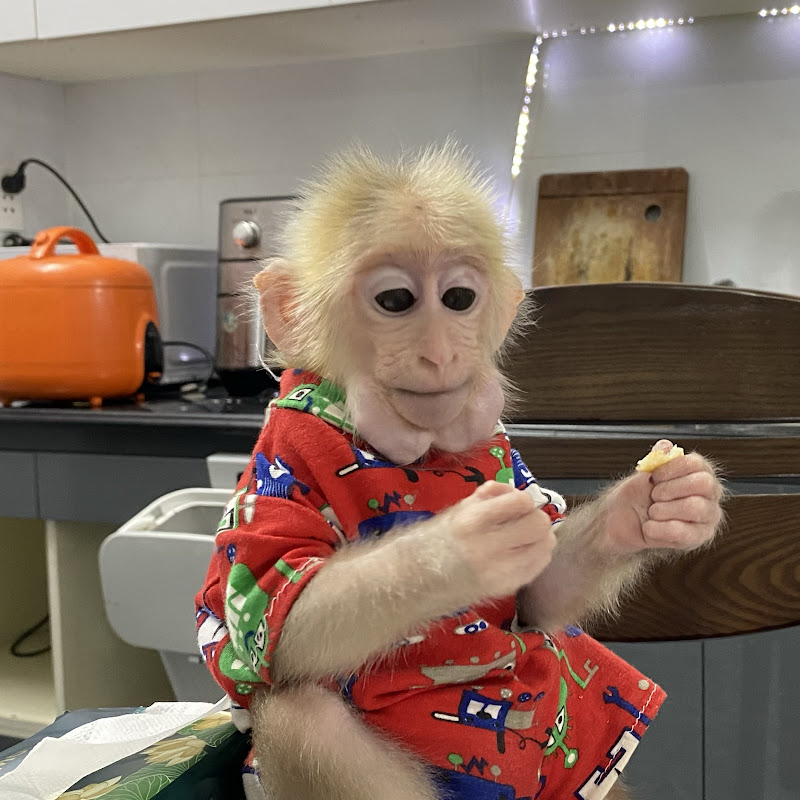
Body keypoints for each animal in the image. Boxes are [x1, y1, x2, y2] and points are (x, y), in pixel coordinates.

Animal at [195, 143, 723, 800]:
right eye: (395, 301)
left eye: (458, 300)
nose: (441, 352)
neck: (418, 454)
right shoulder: (282, 459)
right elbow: (284, 613)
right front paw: (453, 549)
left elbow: (541, 596)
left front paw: (653, 505)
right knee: (302, 716)